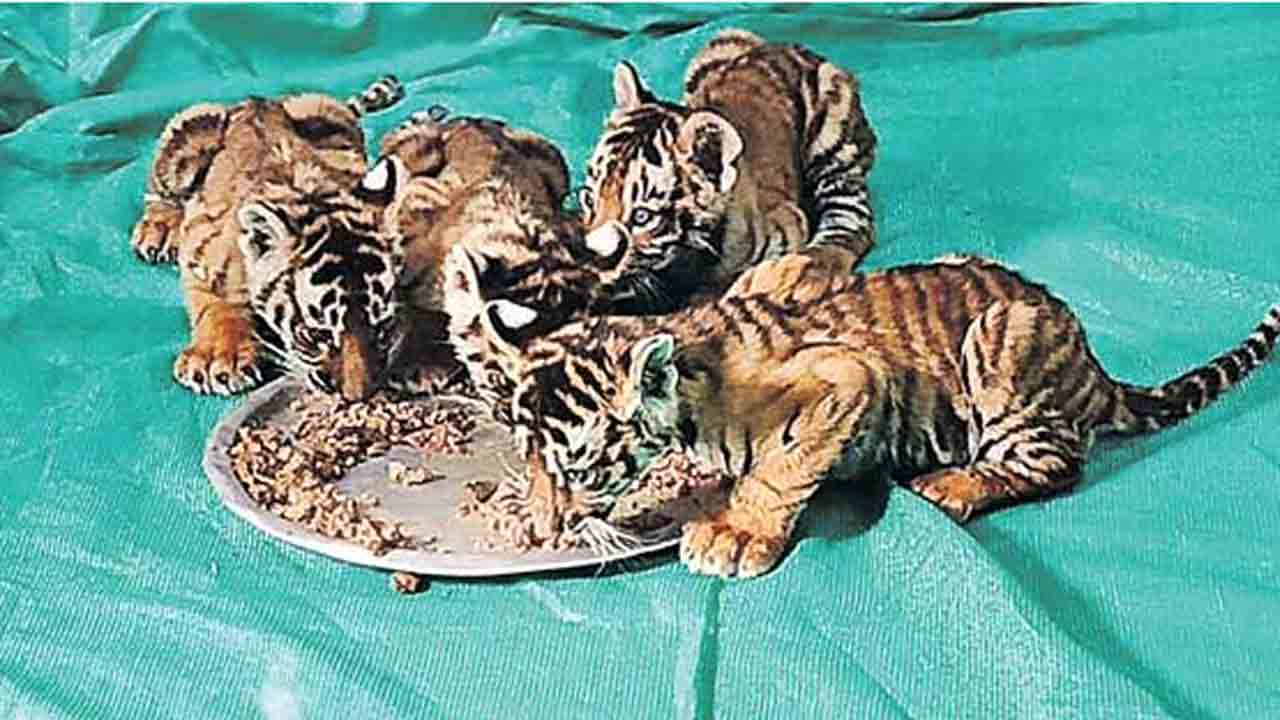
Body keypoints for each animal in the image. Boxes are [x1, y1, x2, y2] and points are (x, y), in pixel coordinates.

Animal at [129, 76, 404, 398]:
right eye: (314, 334)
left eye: (382, 327)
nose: (356, 397)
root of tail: (258, 101)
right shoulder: (198, 250)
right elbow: (214, 303)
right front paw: (219, 356)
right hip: (191, 126)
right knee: (160, 191)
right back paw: (159, 228)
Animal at [463, 252, 1279, 578]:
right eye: (531, 461)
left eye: (580, 470)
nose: (546, 528)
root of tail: (1092, 365)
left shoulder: (846, 379)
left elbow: (780, 469)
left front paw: (736, 534)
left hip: (1002, 345)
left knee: (1058, 462)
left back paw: (957, 484)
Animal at [577, 29, 878, 314]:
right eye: (589, 199)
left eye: (642, 217)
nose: (593, 258)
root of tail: (786, 46)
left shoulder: (789, 225)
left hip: (832, 136)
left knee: (852, 218)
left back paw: (812, 268)